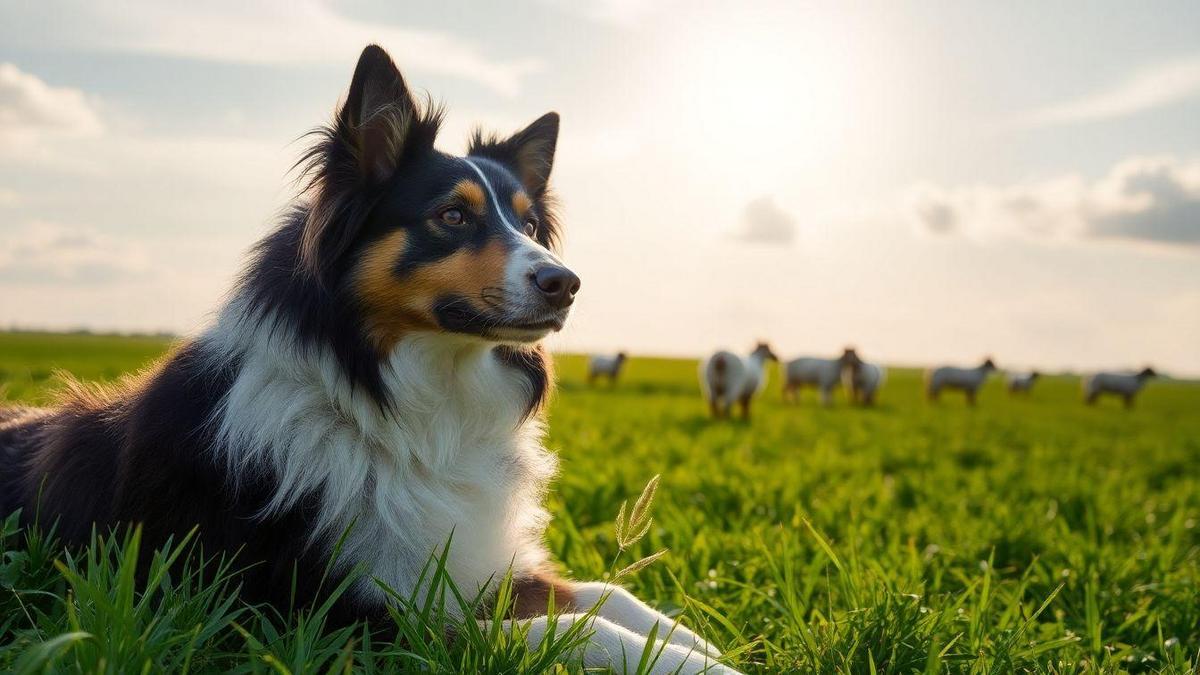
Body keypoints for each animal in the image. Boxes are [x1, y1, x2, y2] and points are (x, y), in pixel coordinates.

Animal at [0, 44, 734, 667]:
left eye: (528, 224)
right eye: (452, 217)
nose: (567, 283)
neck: (402, 409)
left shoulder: (465, 560)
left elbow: (604, 594)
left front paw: (697, 638)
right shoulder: (336, 612)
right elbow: (571, 628)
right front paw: (695, 663)